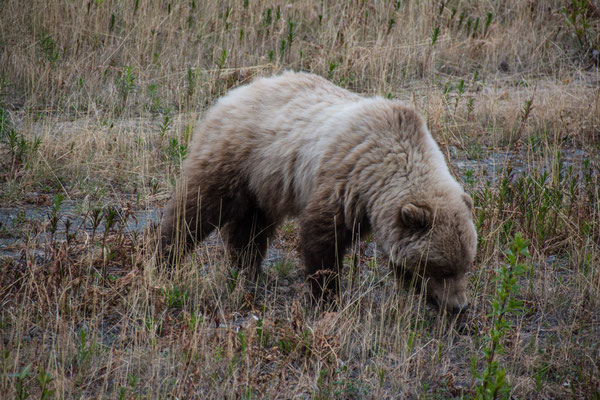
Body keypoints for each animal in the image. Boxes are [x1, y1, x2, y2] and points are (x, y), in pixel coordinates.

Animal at [161, 70, 478, 314]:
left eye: (466, 265)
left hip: (264, 183)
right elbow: (322, 239)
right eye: (443, 269)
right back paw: (165, 256)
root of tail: (234, 93)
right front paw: (327, 297)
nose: (459, 306)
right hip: (237, 157)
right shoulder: (344, 180)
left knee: (252, 228)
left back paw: (246, 269)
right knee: (197, 209)